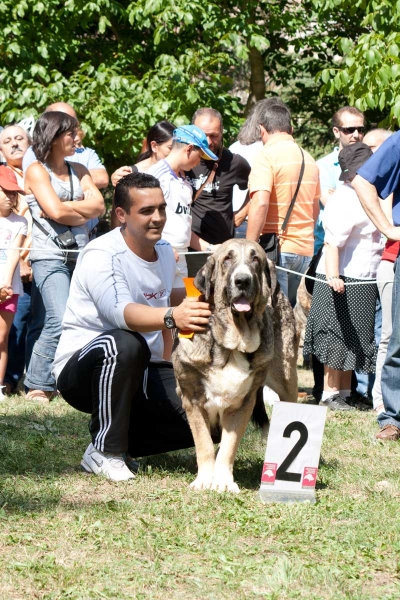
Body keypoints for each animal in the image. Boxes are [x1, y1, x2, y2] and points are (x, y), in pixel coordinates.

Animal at [172, 239, 296, 492]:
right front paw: (204, 480)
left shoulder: (242, 404)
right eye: (227, 259)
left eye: (255, 258)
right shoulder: (192, 400)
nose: (242, 280)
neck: (230, 346)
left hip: (286, 381)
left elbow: (228, 447)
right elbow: (204, 444)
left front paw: (222, 482)